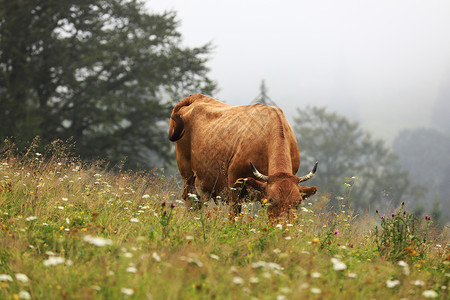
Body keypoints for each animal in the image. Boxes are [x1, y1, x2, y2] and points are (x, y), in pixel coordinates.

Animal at [167, 95, 318, 219]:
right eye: (271, 200)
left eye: (298, 202)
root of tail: (196, 97)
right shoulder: (234, 184)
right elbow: (234, 218)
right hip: (188, 175)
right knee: (191, 201)